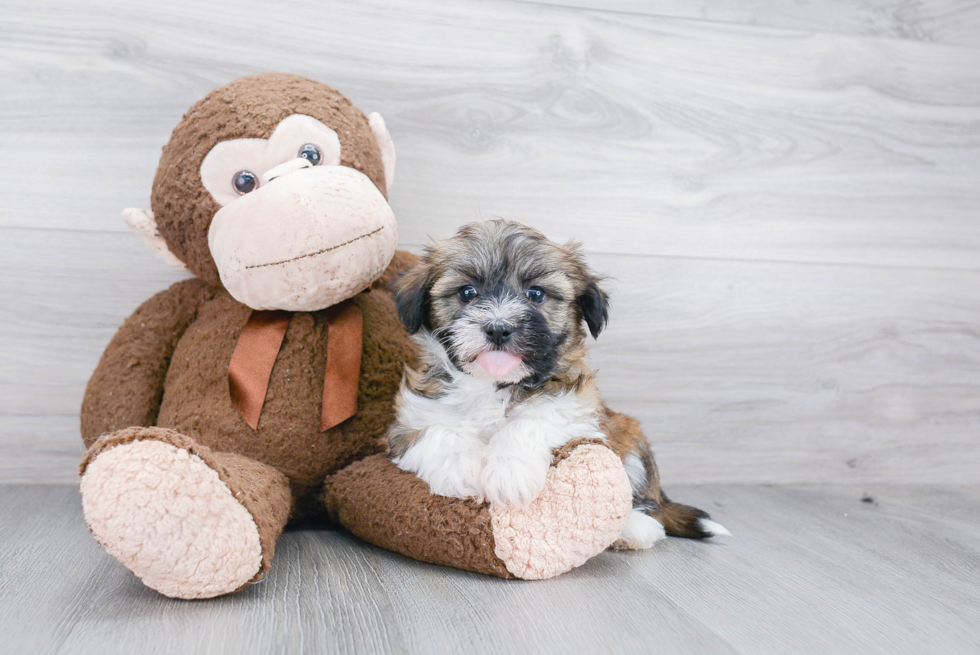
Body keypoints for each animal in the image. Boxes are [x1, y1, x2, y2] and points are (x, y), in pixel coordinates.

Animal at [386, 220, 724, 548]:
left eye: (536, 294)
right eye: (467, 292)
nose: (498, 328)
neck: (493, 385)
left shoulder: (577, 405)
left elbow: (532, 419)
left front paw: (510, 473)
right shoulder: (410, 418)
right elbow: (437, 430)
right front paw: (460, 469)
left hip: (632, 441)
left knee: (644, 505)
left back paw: (634, 528)